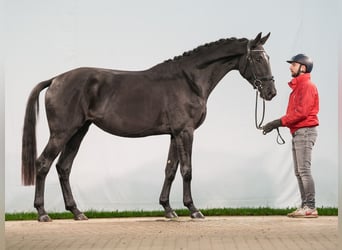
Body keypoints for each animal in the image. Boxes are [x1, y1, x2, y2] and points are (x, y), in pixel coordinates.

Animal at [21, 32, 276, 222]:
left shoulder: (174, 134)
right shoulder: (185, 132)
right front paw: (193, 210)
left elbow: (170, 169)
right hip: (62, 133)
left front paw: (168, 209)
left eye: (268, 58)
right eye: (257, 59)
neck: (188, 81)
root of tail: (55, 80)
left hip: (78, 132)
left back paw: (77, 212)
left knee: (63, 167)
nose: (271, 92)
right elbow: (187, 170)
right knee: (43, 164)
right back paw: (42, 213)